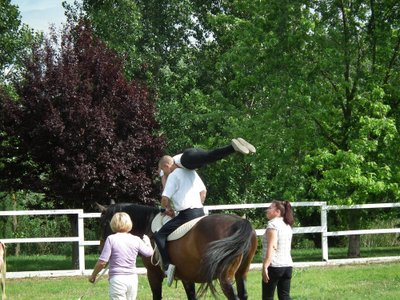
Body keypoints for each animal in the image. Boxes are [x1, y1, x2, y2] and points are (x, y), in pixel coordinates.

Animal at [97, 203, 260, 298]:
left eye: (104, 223)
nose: (101, 248)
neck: (147, 224)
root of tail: (240, 222)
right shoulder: (187, 277)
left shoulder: (153, 274)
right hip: (241, 273)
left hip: (225, 278)